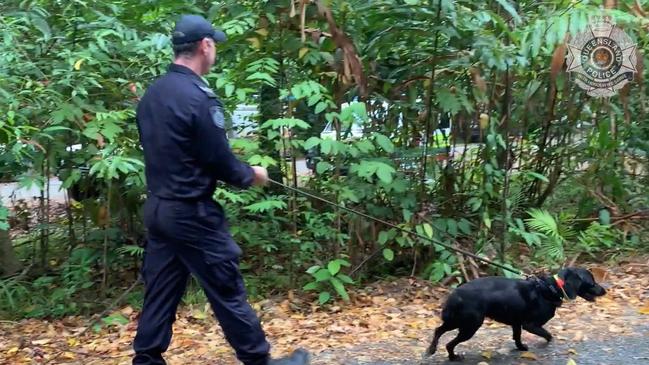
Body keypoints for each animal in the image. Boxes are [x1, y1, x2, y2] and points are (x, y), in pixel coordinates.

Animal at [428, 266, 604, 360]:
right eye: (592, 282)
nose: (605, 290)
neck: (550, 288)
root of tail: (455, 294)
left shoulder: (517, 322)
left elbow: (517, 337)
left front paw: (520, 348)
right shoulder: (530, 325)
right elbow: (548, 335)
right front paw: (546, 344)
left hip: (458, 321)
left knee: (438, 330)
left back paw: (431, 349)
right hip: (469, 326)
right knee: (449, 343)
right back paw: (452, 357)